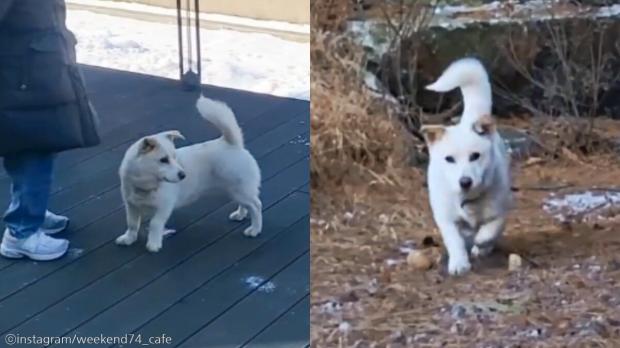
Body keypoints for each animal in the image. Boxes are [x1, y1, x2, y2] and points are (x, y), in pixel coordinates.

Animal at [115, 95, 262, 253]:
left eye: (174, 157)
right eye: (163, 160)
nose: (183, 175)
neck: (145, 184)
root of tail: (232, 143)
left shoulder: (164, 206)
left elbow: (155, 223)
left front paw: (153, 244)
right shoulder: (131, 205)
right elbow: (131, 223)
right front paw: (129, 239)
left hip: (239, 190)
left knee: (256, 205)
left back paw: (255, 229)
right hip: (236, 190)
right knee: (246, 204)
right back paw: (240, 215)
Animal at [424, 58, 512, 276]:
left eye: (475, 156)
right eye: (449, 159)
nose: (465, 182)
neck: (468, 200)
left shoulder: (500, 212)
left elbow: (488, 232)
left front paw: (480, 244)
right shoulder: (446, 218)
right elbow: (454, 240)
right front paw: (459, 263)